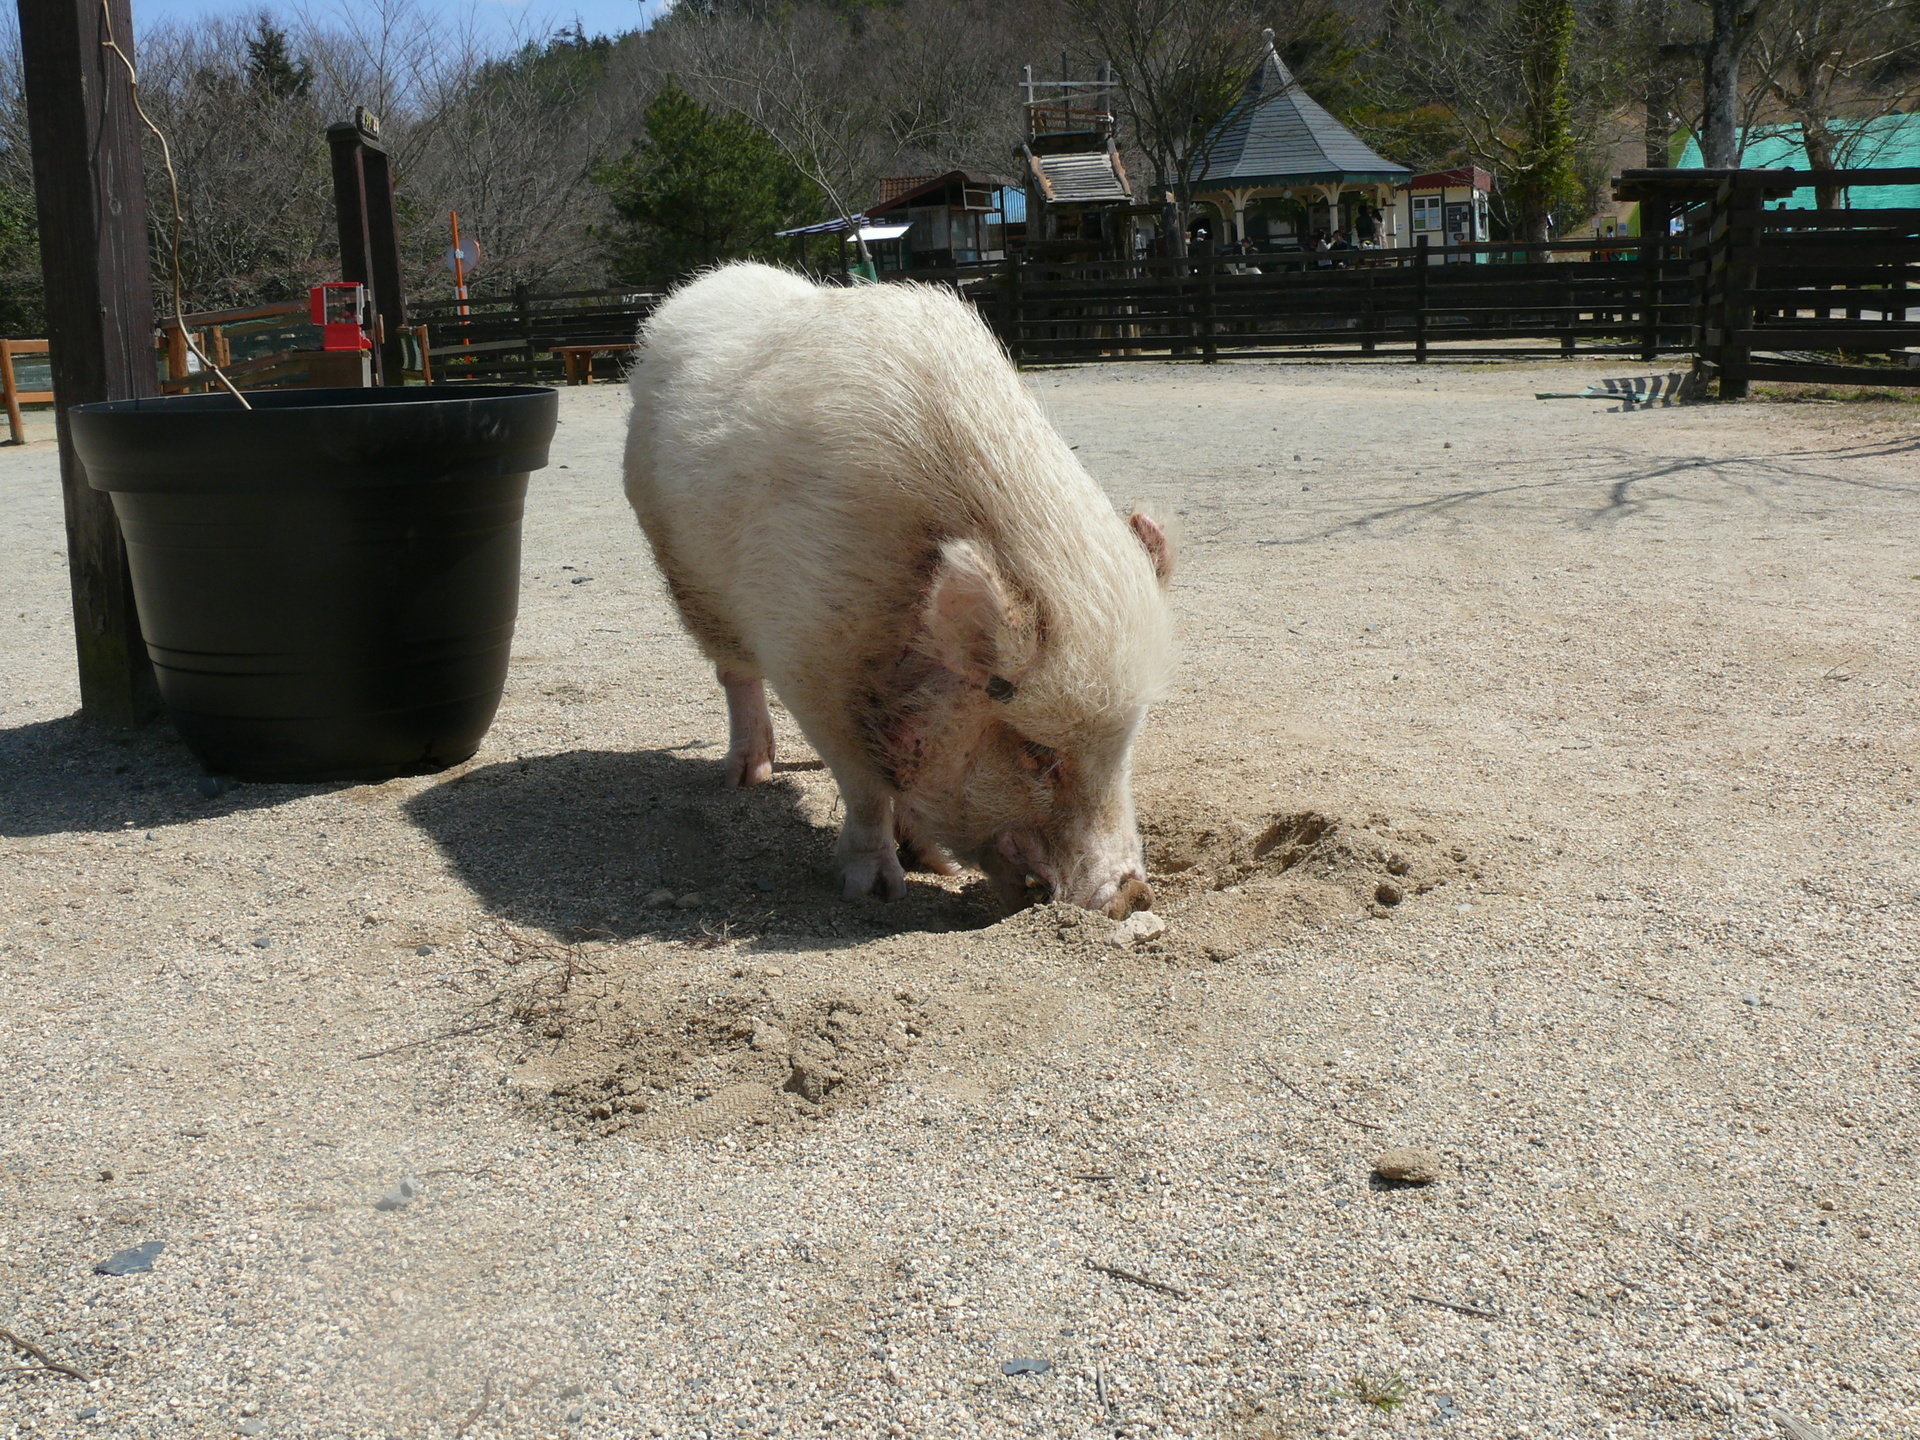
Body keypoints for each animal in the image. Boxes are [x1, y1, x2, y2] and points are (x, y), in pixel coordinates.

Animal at [622, 264, 1175, 917]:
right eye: (1039, 752)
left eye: (1127, 745)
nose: (1133, 893)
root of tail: (705, 285)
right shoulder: (810, 660)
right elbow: (864, 789)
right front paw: (875, 892)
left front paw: (936, 864)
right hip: (685, 575)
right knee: (735, 673)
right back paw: (748, 776)